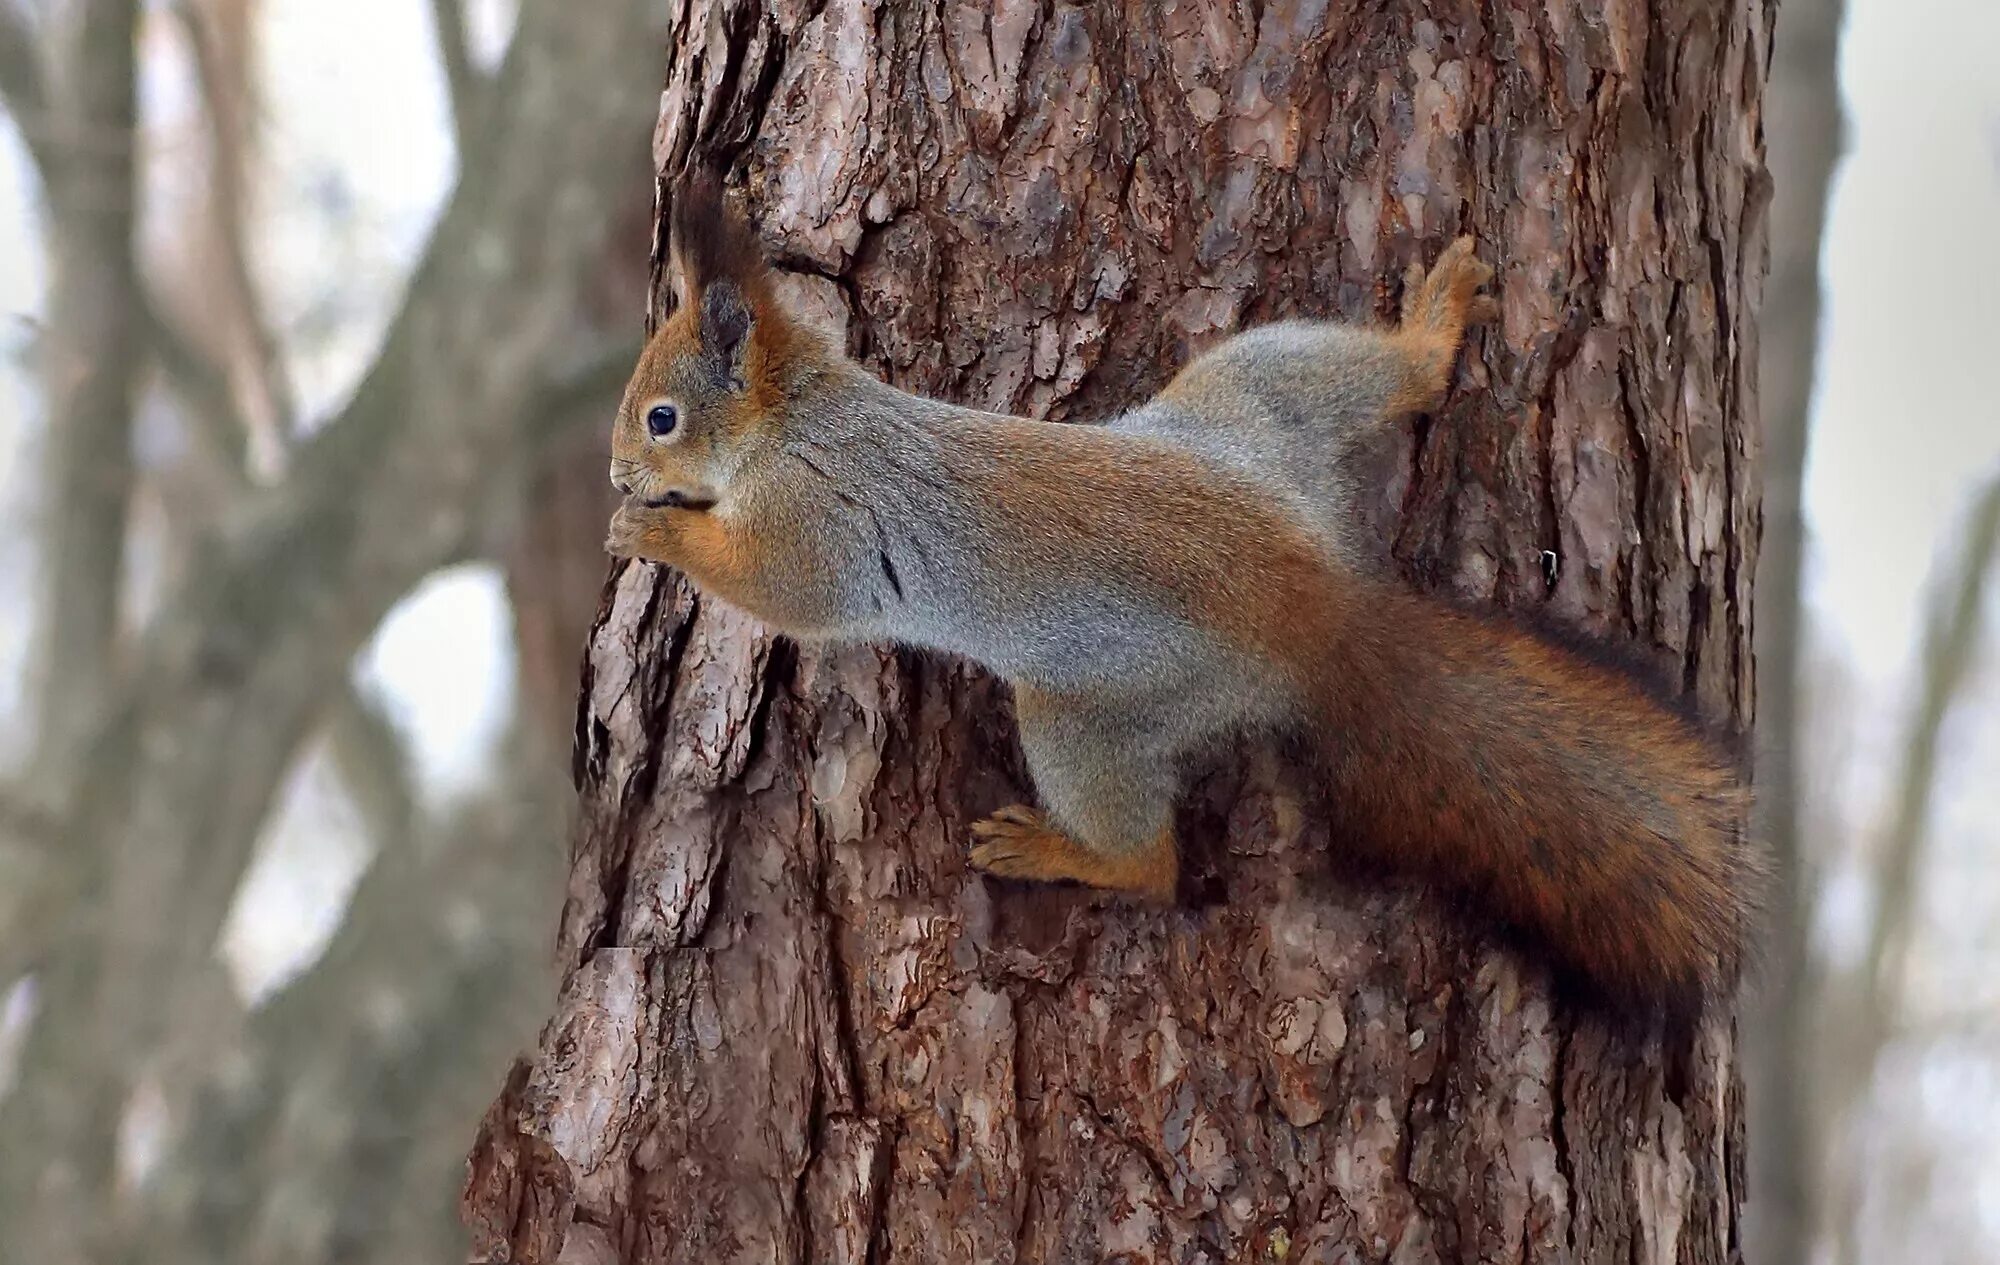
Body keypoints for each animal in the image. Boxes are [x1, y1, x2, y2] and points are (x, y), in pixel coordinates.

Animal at [600, 173, 1760, 1012]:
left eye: (660, 417)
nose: (615, 475)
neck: (801, 413)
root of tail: (1320, 608)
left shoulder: (819, 519)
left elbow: (789, 591)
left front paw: (658, 530)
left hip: (1098, 704)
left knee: (1151, 861)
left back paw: (1064, 850)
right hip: (1250, 400)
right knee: (1380, 378)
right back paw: (1428, 334)